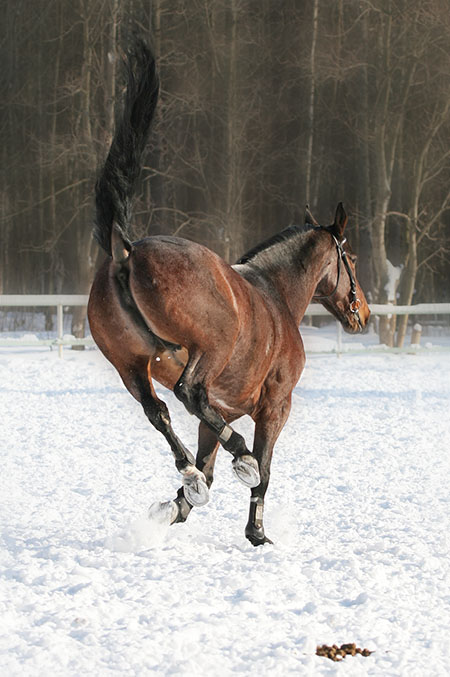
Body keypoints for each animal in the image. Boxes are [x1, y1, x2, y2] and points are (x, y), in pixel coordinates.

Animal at [88, 42, 370, 544]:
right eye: (350, 259)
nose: (364, 313)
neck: (276, 294)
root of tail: (127, 250)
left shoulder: (223, 412)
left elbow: (206, 461)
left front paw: (178, 505)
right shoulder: (275, 406)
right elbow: (266, 469)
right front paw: (256, 530)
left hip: (130, 364)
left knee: (159, 410)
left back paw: (187, 473)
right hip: (208, 349)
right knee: (187, 392)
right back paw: (240, 459)